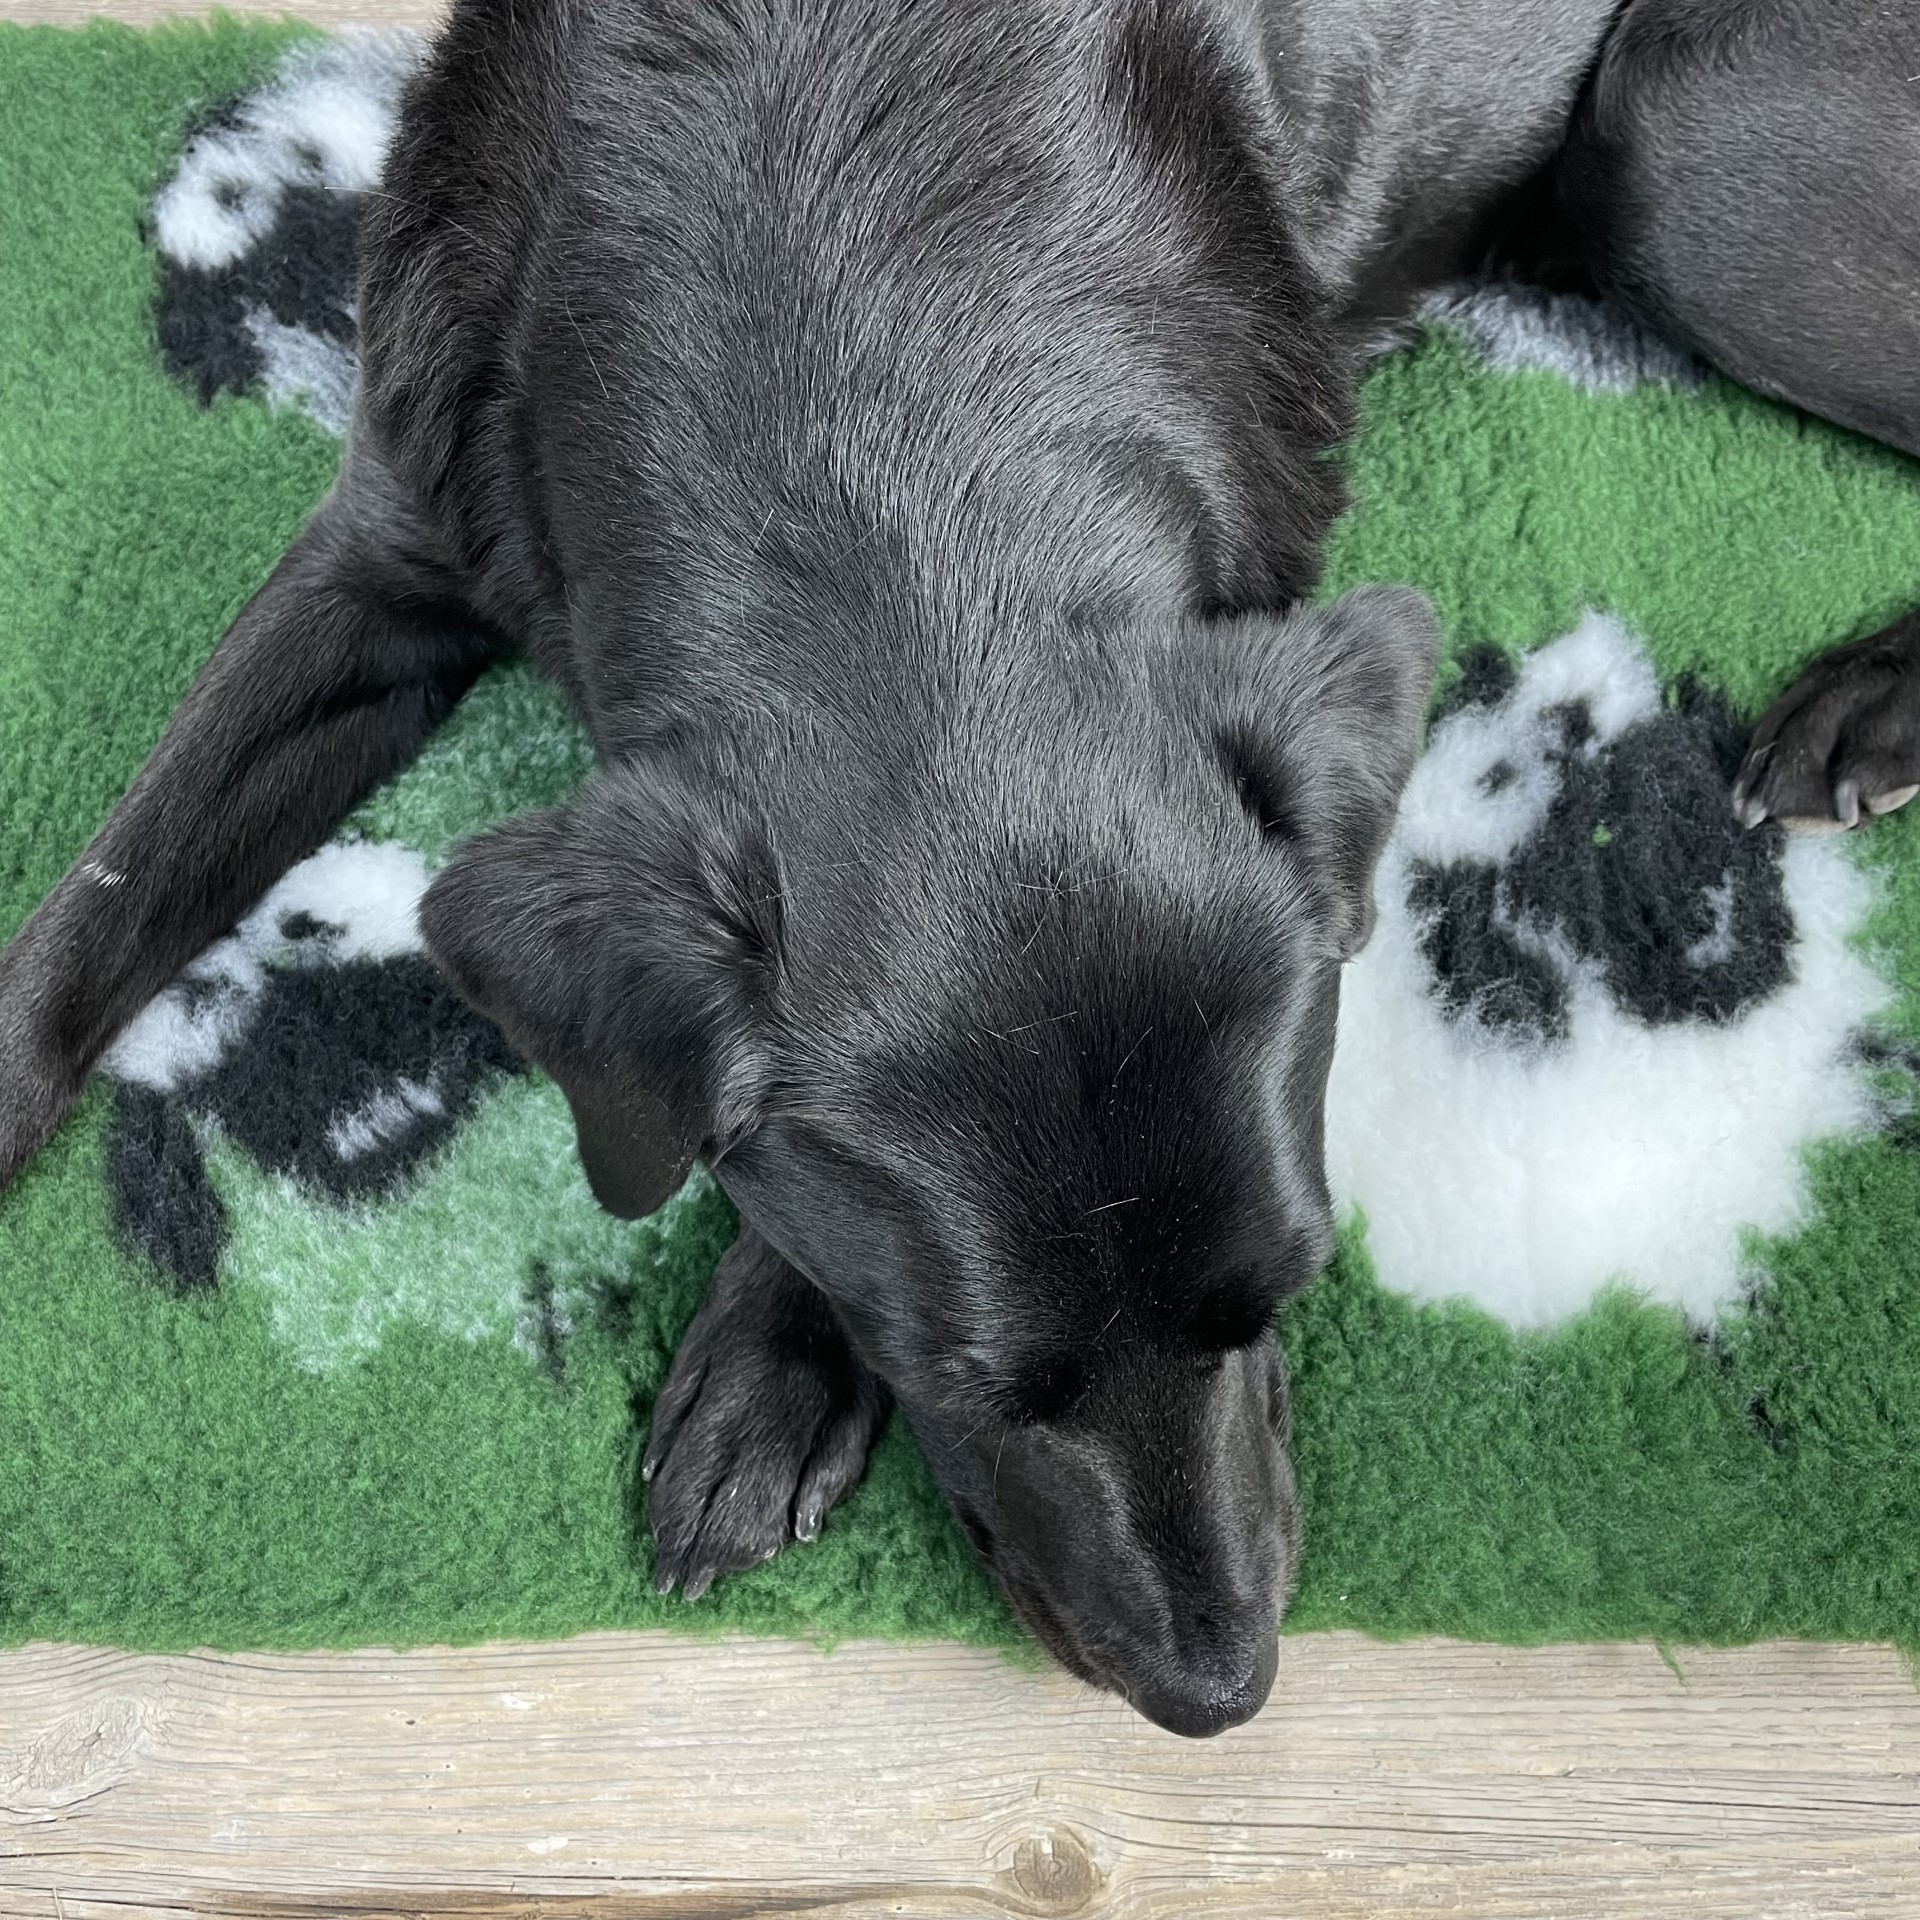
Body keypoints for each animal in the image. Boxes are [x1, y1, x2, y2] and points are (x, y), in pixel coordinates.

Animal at [3, 0, 1920, 1743]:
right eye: (970, 1380)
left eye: (1285, 1295)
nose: (1222, 1697)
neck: (858, 395)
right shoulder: (398, 522)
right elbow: (99, 899)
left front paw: (767, 1371)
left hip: (1679, 121)